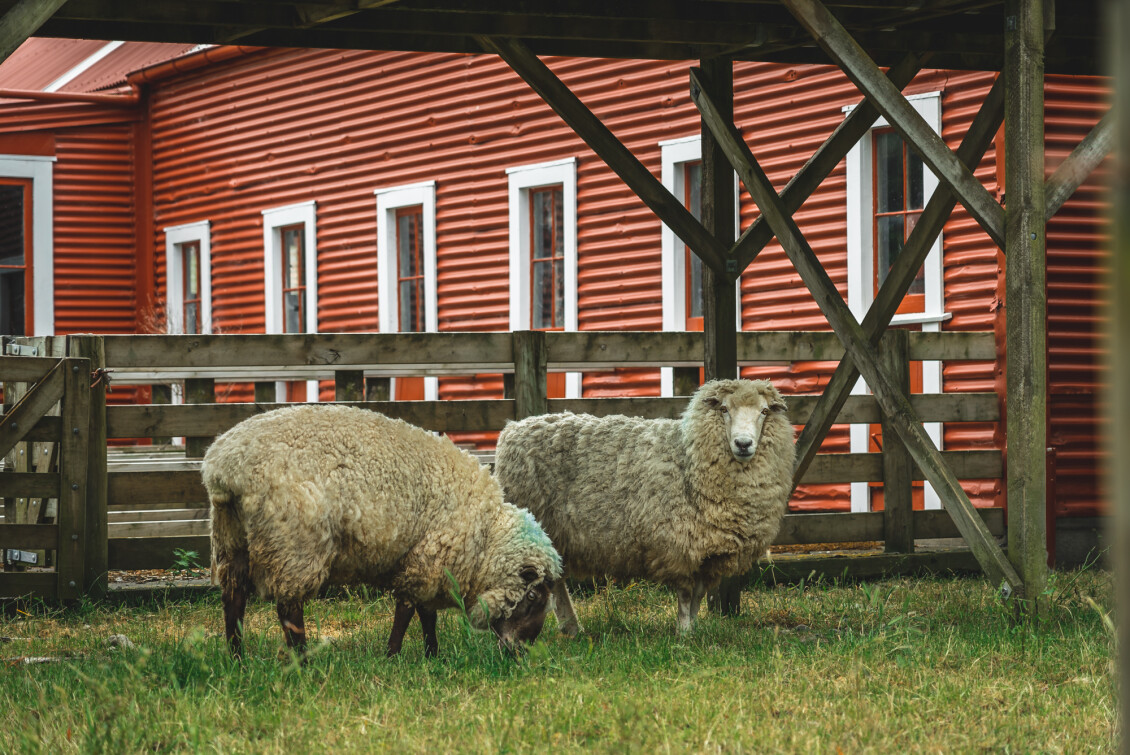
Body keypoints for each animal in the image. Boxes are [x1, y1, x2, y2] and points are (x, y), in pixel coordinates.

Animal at [203, 404, 565, 655]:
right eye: (533, 595)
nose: (521, 652)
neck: (486, 537)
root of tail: (223, 467)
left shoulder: (430, 565)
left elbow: (426, 614)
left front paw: (432, 654)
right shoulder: (427, 561)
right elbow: (406, 611)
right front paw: (393, 655)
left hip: (231, 536)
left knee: (233, 598)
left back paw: (237, 657)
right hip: (294, 542)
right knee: (288, 608)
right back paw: (301, 661)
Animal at [494, 379, 795, 632]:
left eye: (764, 411)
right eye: (723, 409)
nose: (743, 444)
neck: (687, 458)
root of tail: (513, 427)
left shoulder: (706, 555)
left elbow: (697, 597)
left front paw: (693, 630)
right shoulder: (679, 545)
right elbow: (686, 595)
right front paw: (683, 635)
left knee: (554, 582)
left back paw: (571, 629)